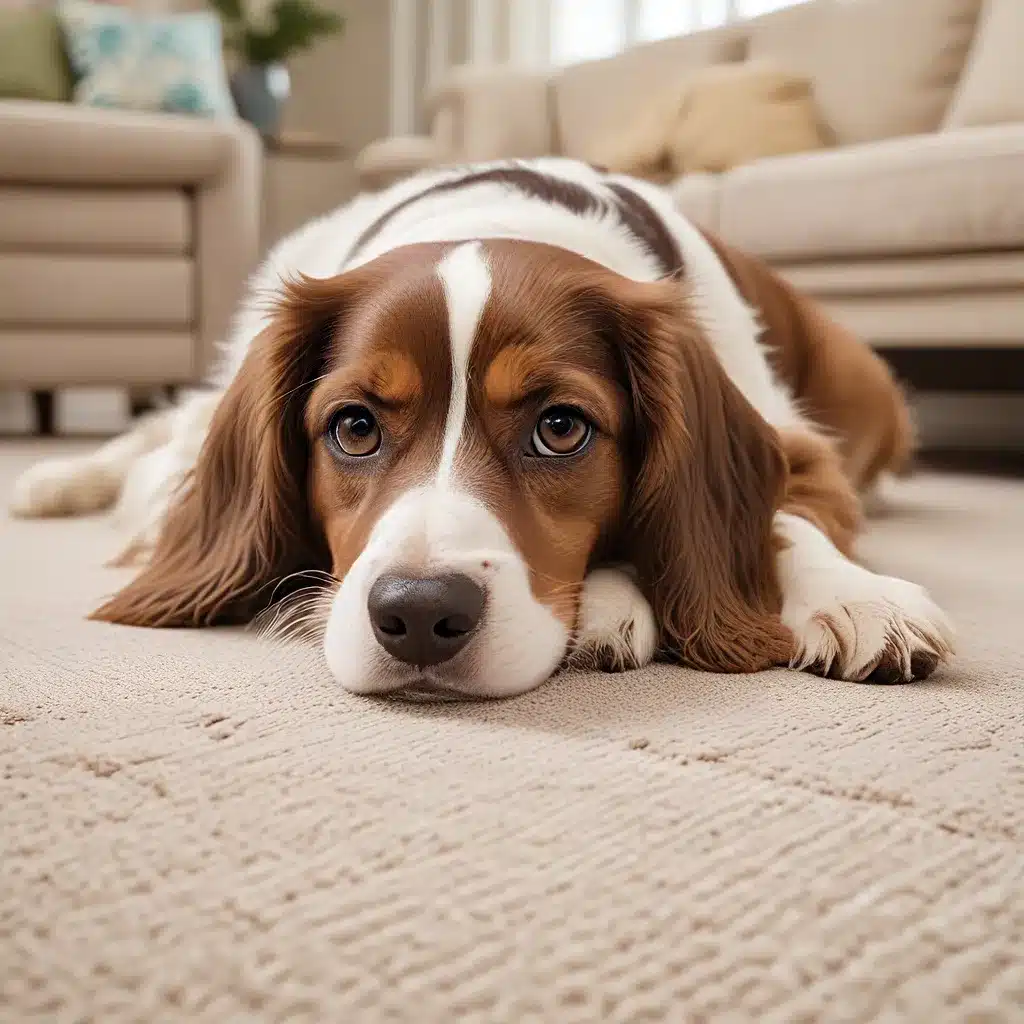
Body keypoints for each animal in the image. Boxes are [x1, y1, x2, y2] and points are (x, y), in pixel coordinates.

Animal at [6, 159, 950, 700]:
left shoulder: (797, 448)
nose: (419, 614)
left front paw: (856, 596)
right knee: (162, 445)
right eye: (353, 428)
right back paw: (54, 480)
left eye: (561, 428)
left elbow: (786, 520)